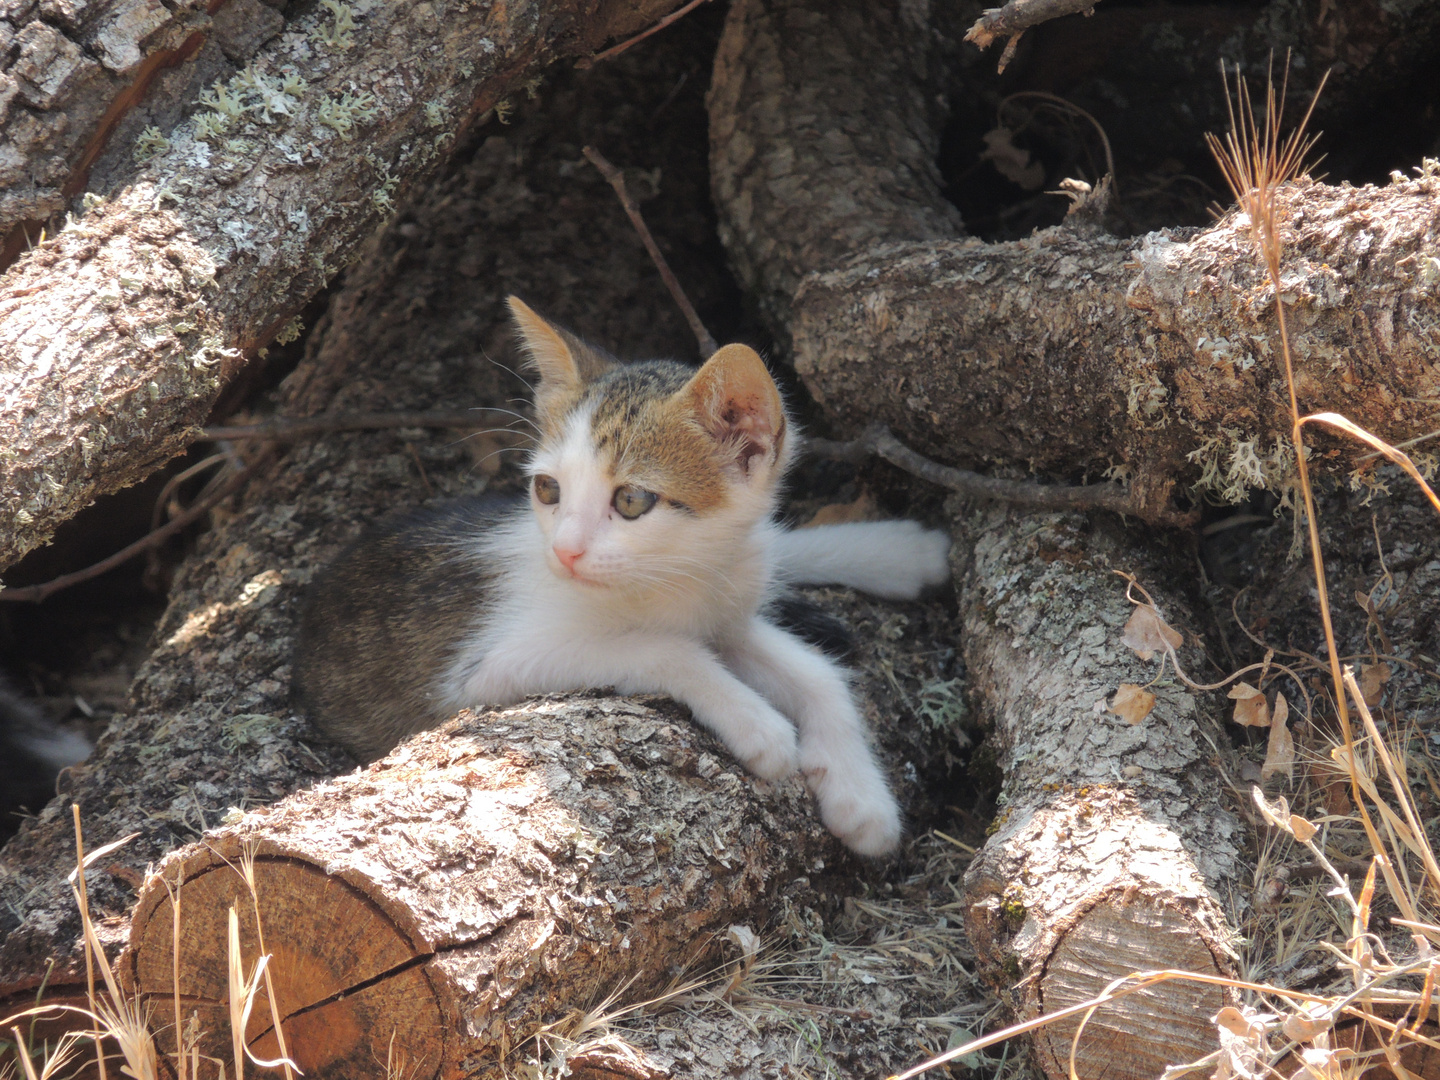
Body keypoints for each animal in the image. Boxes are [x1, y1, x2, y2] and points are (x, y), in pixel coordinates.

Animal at [292, 300, 950, 858]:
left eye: (632, 501)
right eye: (548, 488)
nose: (564, 551)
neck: (678, 579)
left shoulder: (727, 609)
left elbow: (818, 674)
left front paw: (861, 797)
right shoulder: (479, 674)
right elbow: (664, 648)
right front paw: (760, 726)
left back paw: (904, 552)